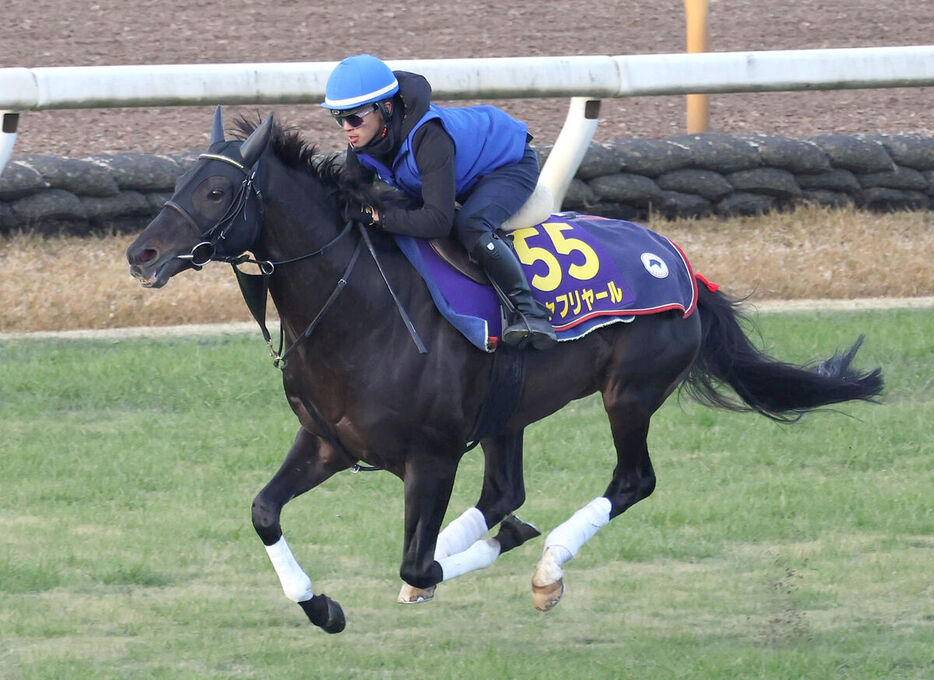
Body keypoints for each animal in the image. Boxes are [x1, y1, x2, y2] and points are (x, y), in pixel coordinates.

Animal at [124, 109, 884, 636]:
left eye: (218, 189)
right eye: (179, 181)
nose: (140, 252)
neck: (359, 308)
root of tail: (681, 262)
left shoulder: (431, 458)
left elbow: (415, 558)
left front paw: (472, 561)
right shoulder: (327, 443)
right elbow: (264, 512)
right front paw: (322, 608)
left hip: (629, 393)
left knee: (630, 481)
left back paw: (546, 569)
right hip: (507, 411)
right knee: (503, 492)